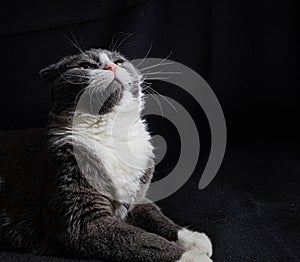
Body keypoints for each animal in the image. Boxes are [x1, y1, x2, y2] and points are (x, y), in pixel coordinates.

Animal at [0, 48, 212, 260]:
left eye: (119, 62)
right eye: (85, 66)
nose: (111, 66)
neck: (111, 131)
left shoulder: (137, 197)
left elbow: (154, 213)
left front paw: (194, 239)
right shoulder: (83, 220)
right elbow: (142, 239)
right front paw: (193, 257)